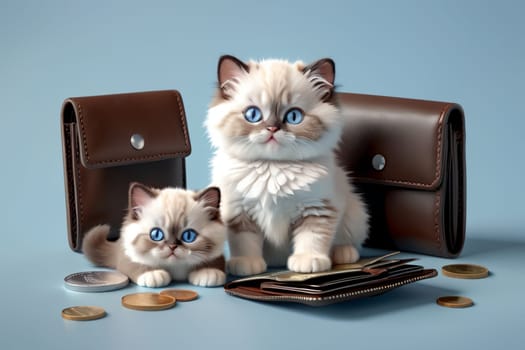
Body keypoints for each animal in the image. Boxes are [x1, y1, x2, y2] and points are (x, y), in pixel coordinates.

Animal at [83, 183, 226, 288]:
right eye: (156, 235)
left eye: (189, 236)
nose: (172, 246)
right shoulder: (128, 255)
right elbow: (138, 264)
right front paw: (152, 274)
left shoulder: (217, 255)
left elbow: (213, 261)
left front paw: (208, 272)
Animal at [205, 54, 368, 276]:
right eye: (253, 115)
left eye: (293, 116)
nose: (273, 128)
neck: (272, 166)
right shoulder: (239, 212)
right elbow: (245, 243)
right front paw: (247, 264)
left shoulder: (317, 208)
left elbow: (312, 238)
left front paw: (308, 261)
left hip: (353, 213)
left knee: (348, 241)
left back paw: (343, 254)